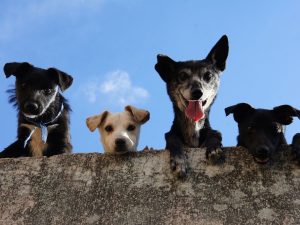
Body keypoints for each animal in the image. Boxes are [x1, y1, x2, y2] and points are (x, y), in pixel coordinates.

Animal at [156, 35, 229, 178]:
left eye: (208, 75)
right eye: (183, 76)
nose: (197, 92)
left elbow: (215, 134)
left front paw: (213, 148)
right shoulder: (171, 136)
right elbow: (172, 138)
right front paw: (179, 161)